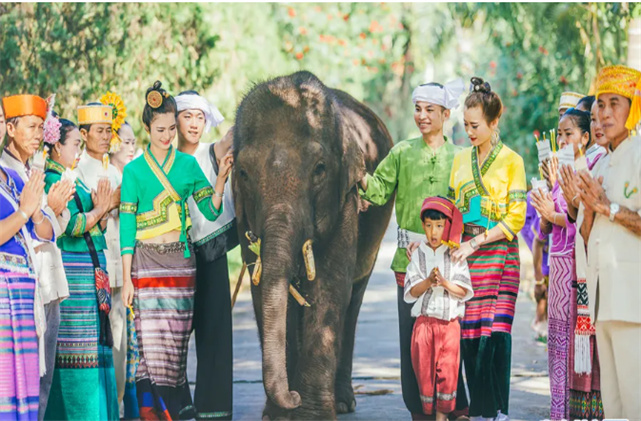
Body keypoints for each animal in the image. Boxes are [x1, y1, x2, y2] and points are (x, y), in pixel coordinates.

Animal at [234, 70, 392, 418]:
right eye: (243, 174)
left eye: (320, 170)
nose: (291, 396)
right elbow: (261, 289)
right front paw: (278, 416)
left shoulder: (347, 199)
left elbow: (329, 287)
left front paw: (309, 415)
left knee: (354, 299)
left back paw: (344, 402)